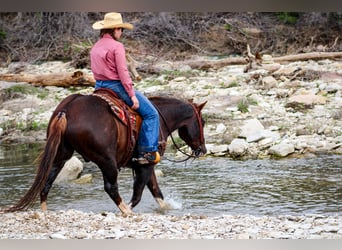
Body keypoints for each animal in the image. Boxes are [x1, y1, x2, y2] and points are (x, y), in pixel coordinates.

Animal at [5, 93, 207, 214]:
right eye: (203, 122)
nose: (203, 150)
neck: (160, 119)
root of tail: (67, 110)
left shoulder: (143, 165)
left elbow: (157, 192)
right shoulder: (146, 164)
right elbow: (138, 194)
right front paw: (130, 209)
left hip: (60, 156)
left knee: (46, 182)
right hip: (106, 161)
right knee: (111, 187)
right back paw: (126, 212)